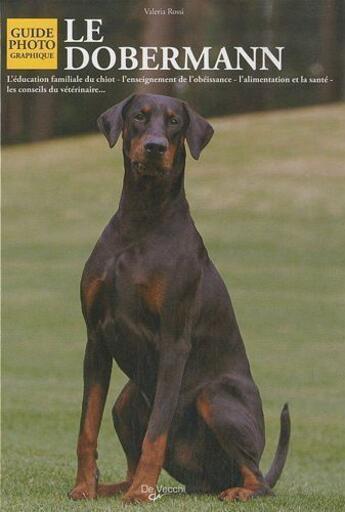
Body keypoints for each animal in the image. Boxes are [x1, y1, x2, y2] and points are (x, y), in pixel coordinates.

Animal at [68, 93, 288, 504]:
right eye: (139, 117)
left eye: (174, 122)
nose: (155, 147)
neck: (142, 218)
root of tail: (204, 480)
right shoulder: (96, 339)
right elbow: (87, 427)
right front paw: (84, 487)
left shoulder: (173, 342)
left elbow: (157, 432)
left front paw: (141, 493)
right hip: (126, 401)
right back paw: (112, 487)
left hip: (214, 397)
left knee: (259, 479)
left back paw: (235, 490)